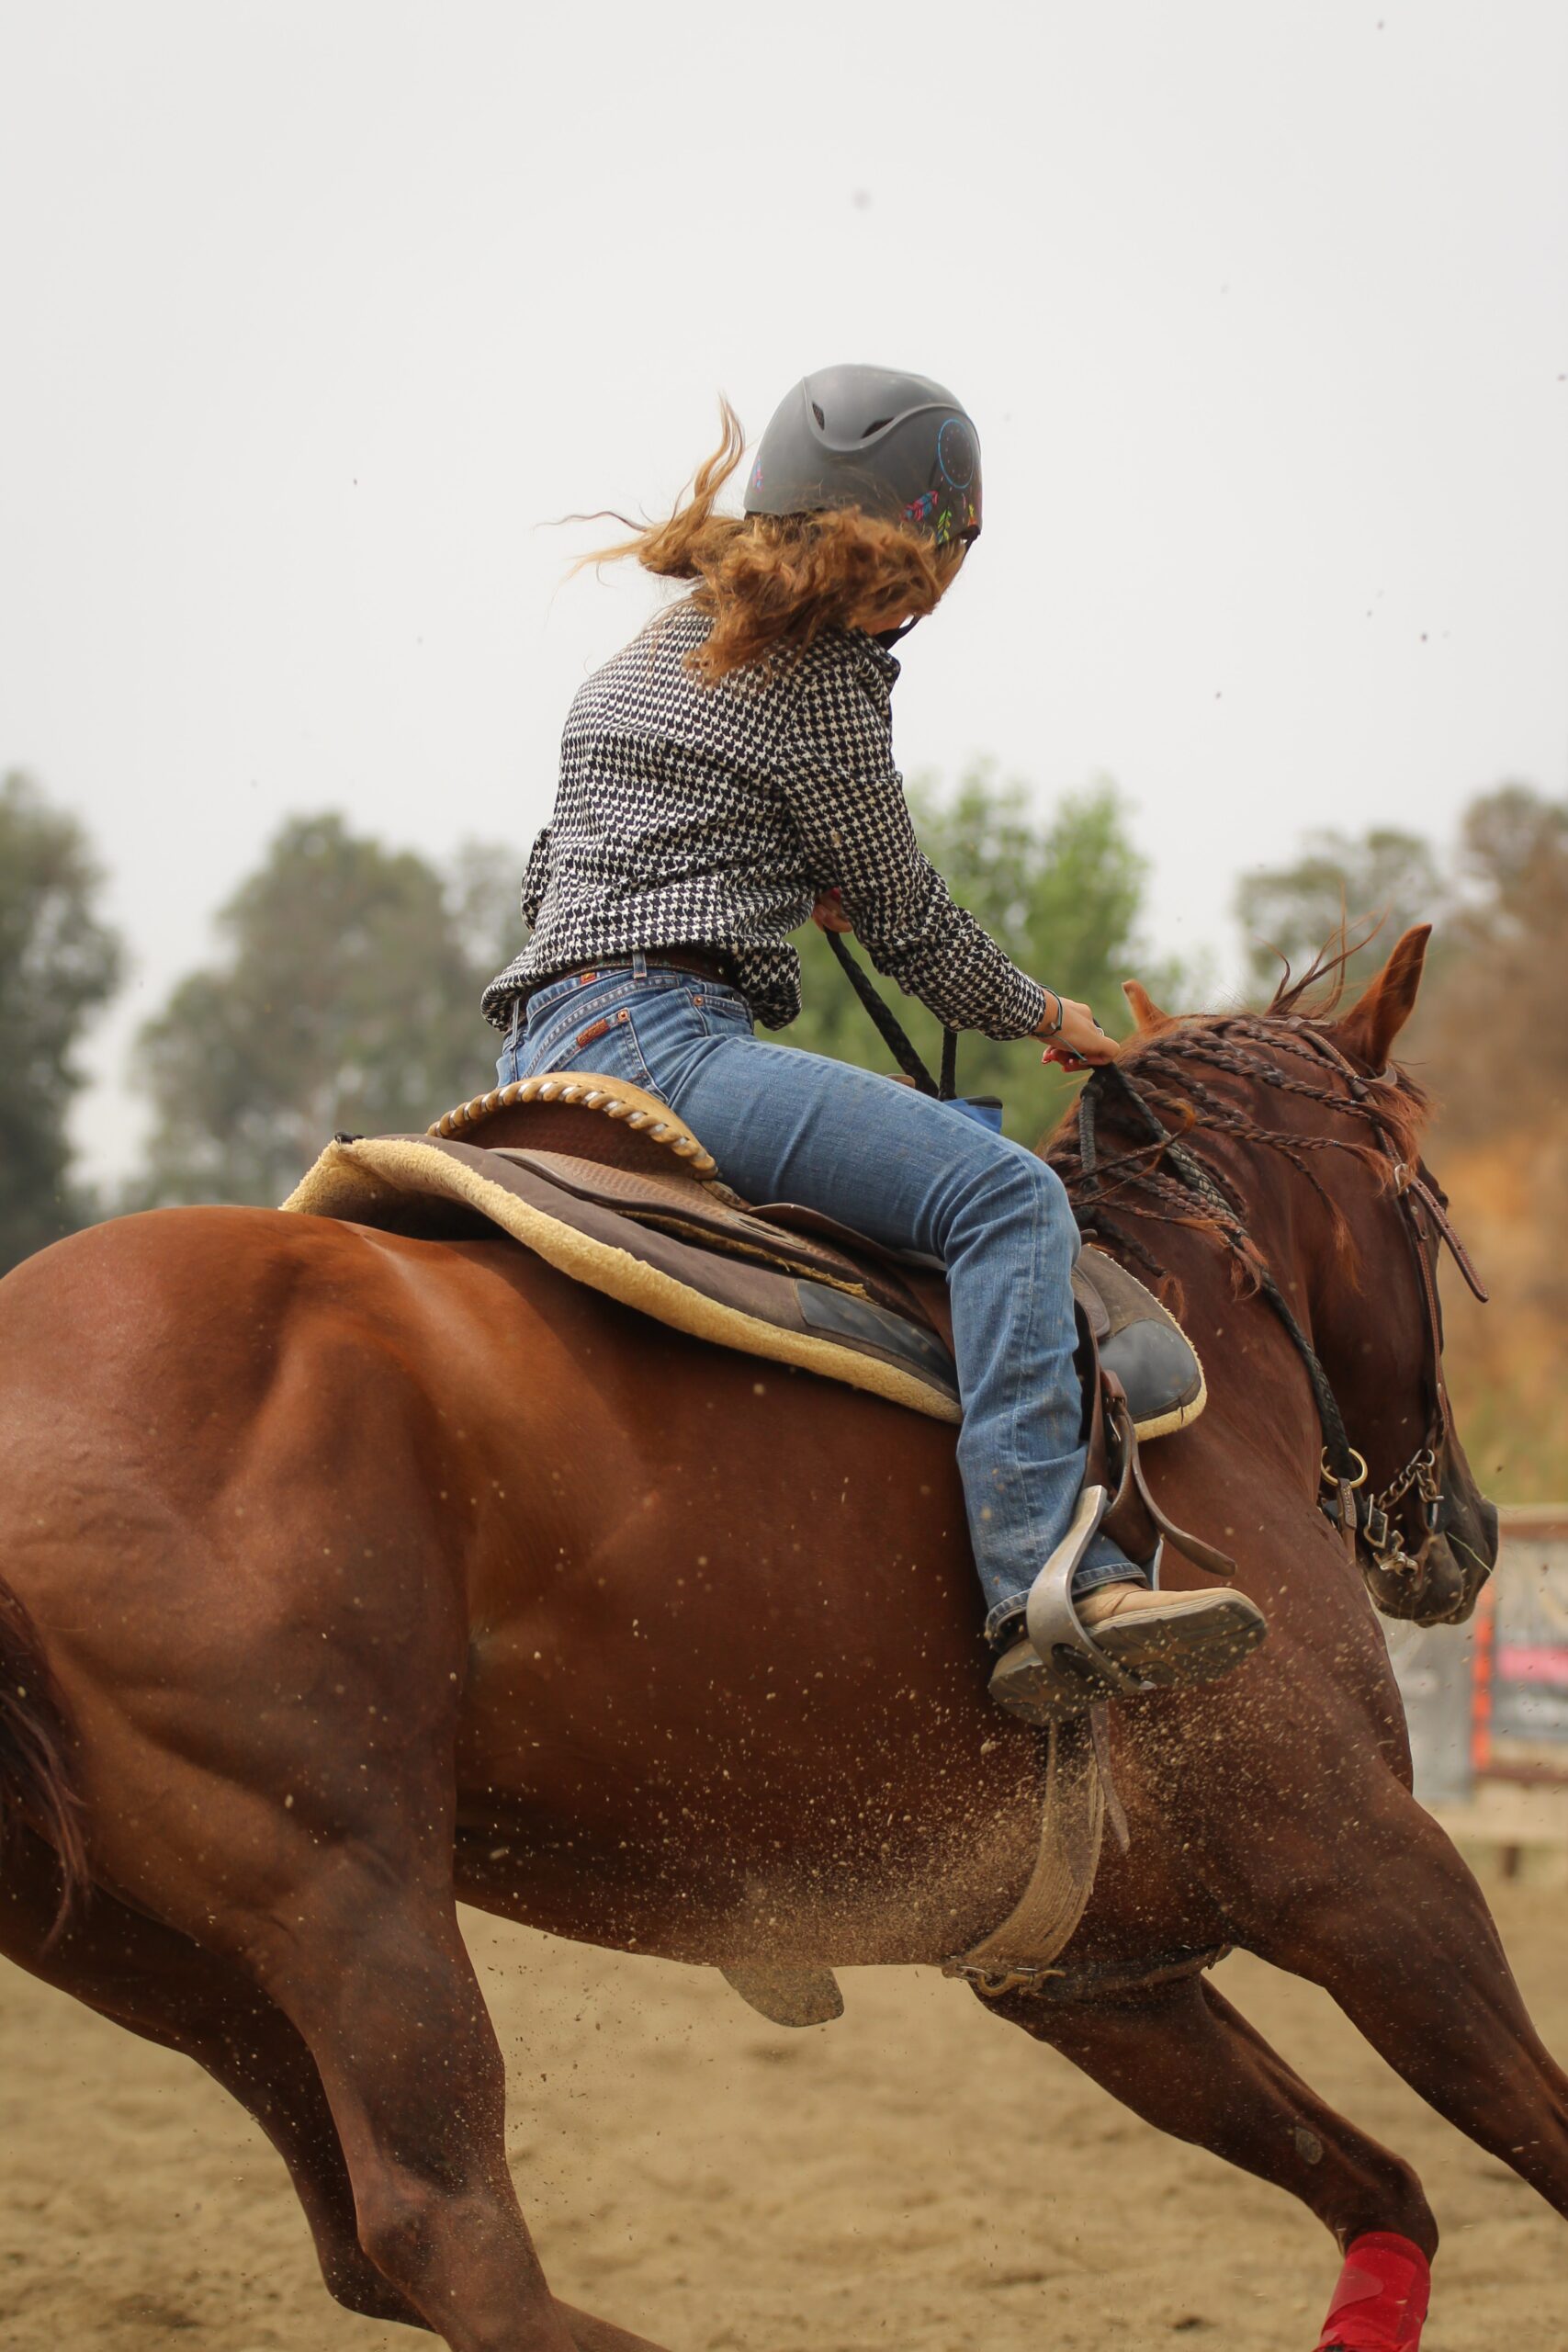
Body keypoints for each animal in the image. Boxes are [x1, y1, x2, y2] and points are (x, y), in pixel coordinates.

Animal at [0, 926, 1561, 2342]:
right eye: (1415, 1196)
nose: (1465, 1527)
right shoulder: (1363, 1869)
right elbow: (1537, 2139)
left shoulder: (1095, 1978)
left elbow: (1375, 2185)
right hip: (349, 1898)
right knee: (445, 2234)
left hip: (153, 1954)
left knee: (358, 2245)